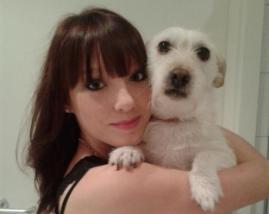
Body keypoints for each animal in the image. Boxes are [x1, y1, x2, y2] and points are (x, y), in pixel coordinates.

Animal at [108, 27, 234, 212]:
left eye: (204, 52)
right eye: (163, 45)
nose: (180, 75)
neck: (175, 120)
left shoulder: (226, 154)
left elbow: (204, 156)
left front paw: (205, 187)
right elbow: (141, 145)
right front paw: (128, 149)